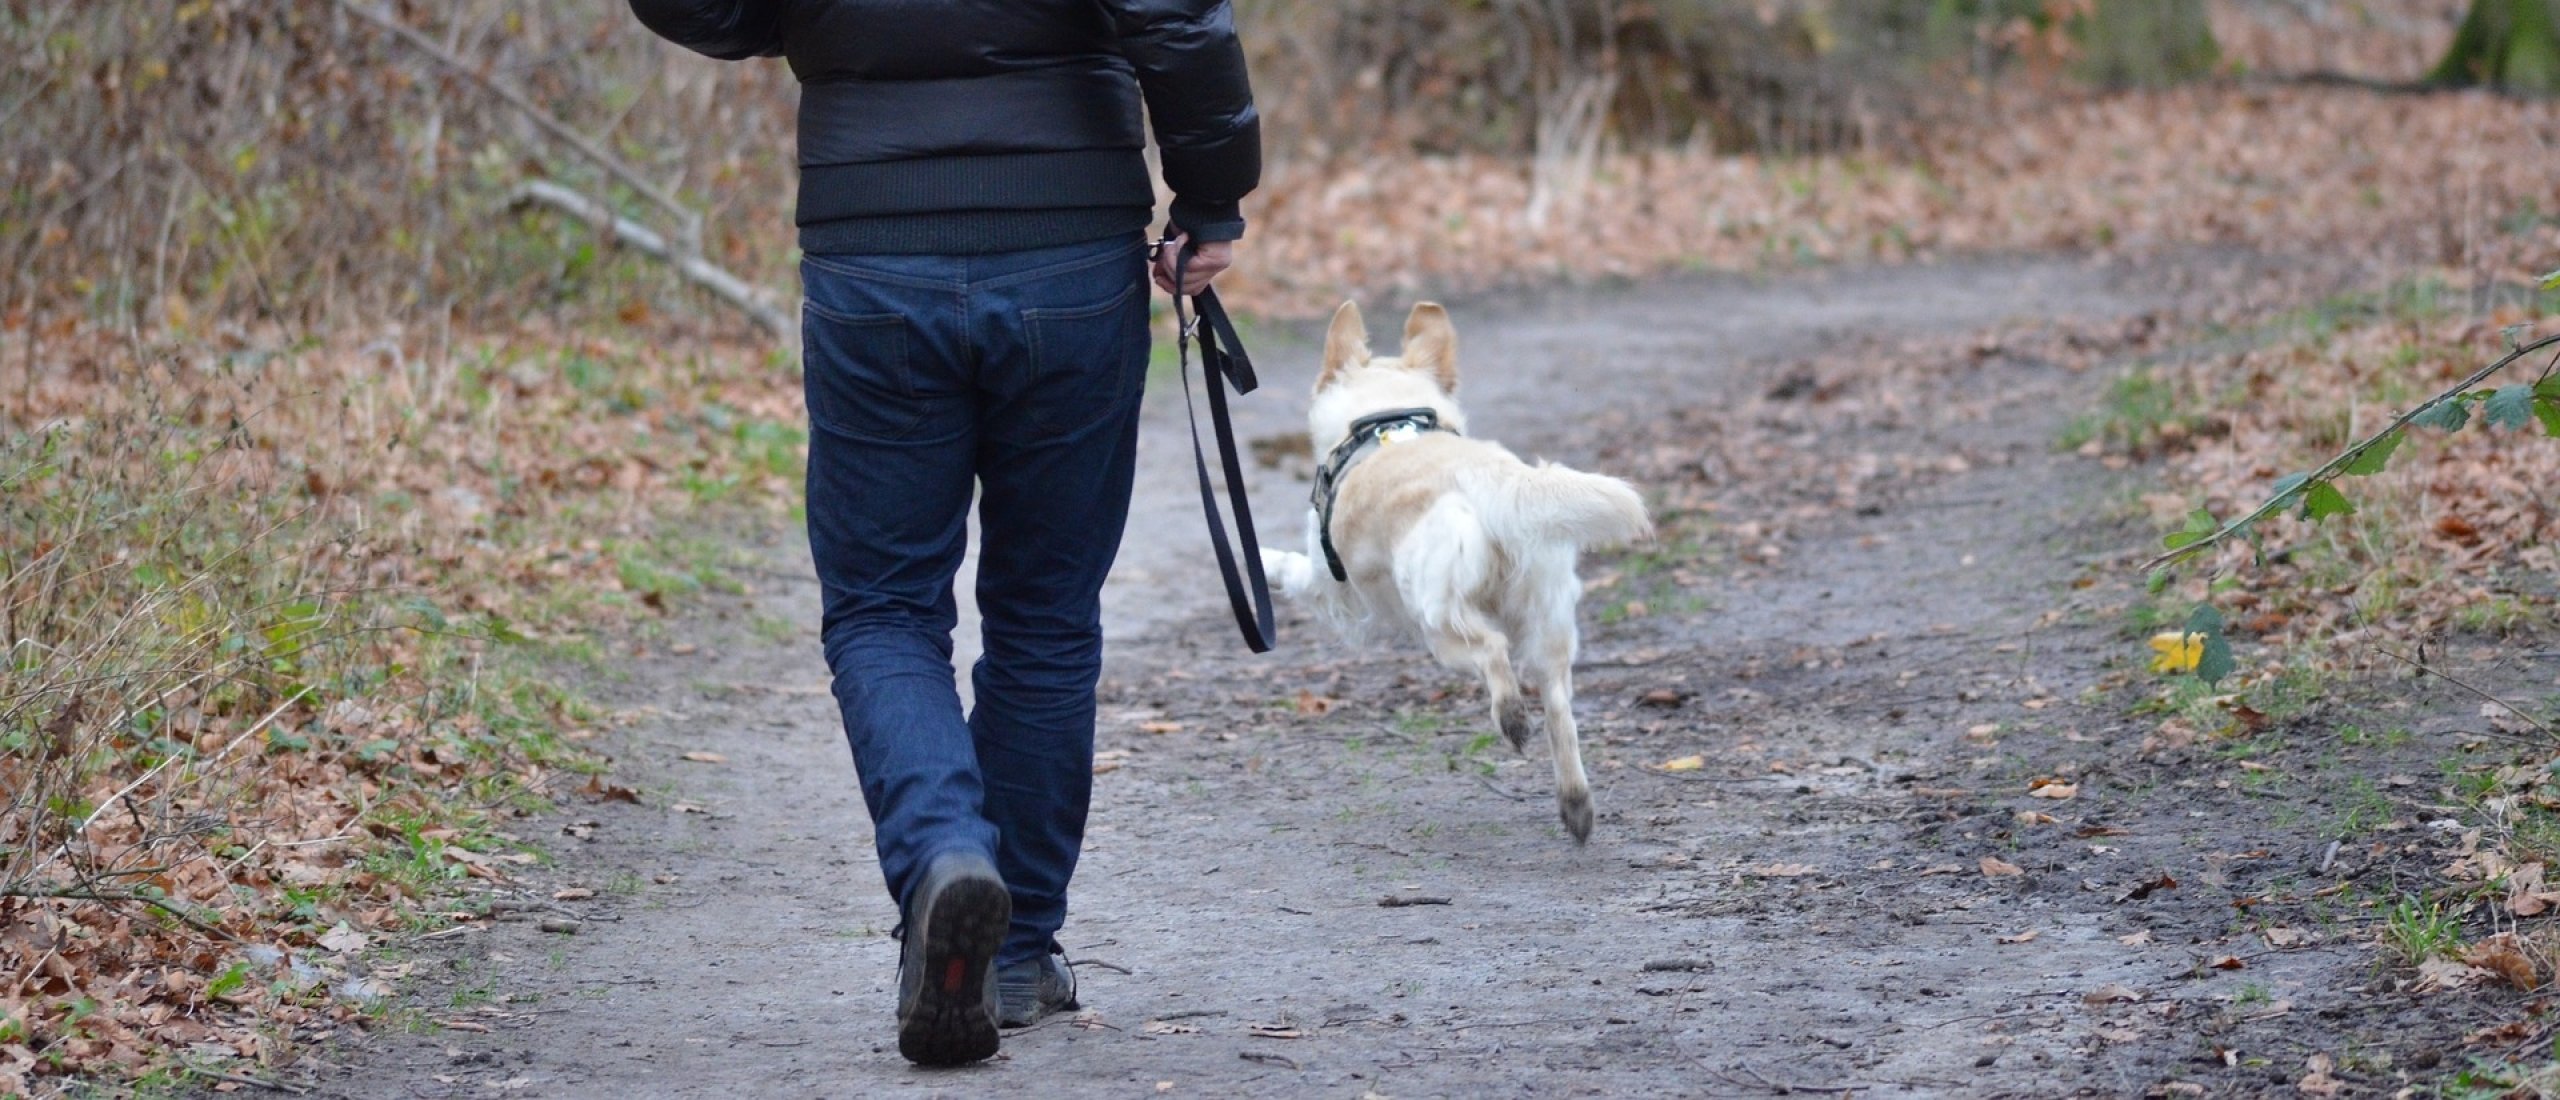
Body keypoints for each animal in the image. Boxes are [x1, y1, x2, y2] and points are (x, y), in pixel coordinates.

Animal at [1264, 300, 1658, 844]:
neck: (1387, 418)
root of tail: (1493, 479)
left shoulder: (1332, 585)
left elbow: (1291, 567)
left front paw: (1260, 560)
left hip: (1437, 622)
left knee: (1493, 653)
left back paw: (1511, 720)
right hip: (1548, 622)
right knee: (1559, 710)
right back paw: (1575, 805)